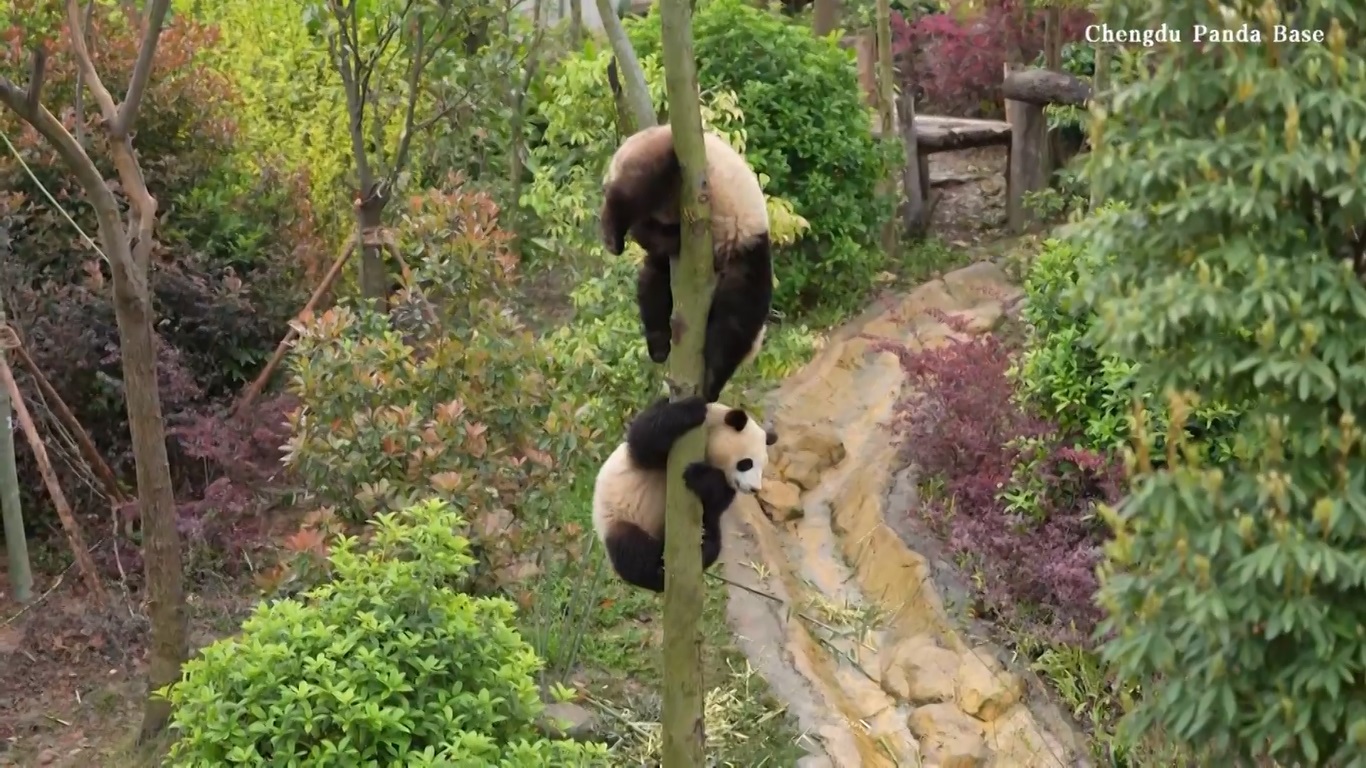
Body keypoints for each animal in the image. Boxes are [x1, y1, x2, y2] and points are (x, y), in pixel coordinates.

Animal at [592, 395, 778, 592]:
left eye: (763, 466)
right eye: (746, 463)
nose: (754, 488)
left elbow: (717, 498)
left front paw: (699, 476)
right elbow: (645, 439)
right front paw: (693, 407)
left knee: (713, 540)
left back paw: (703, 543)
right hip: (618, 518)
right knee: (632, 551)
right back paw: (657, 571)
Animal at [600, 123, 773, 404]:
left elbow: (656, 286)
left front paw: (660, 346)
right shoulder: (746, 261)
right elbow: (733, 325)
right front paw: (712, 386)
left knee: (652, 259)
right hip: (670, 161)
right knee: (638, 188)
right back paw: (612, 235)